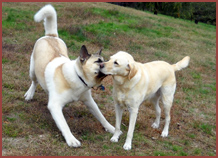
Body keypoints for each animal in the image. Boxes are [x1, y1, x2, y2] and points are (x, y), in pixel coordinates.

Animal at [24, 5, 115, 148]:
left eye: (105, 60)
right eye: (98, 62)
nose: (112, 63)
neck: (78, 77)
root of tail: (50, 36)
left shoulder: (89, 102)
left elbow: (101, 116)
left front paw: (111, 128)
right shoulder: (55, 106)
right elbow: (64, 125)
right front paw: (71, 139)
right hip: (32, 71)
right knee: (34, 82)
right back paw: (29, 94)